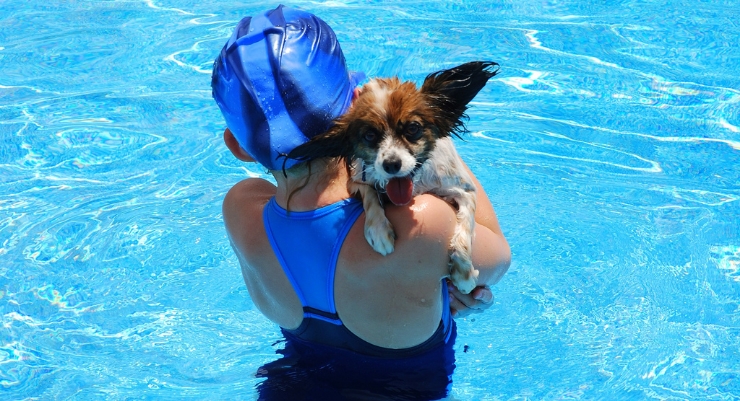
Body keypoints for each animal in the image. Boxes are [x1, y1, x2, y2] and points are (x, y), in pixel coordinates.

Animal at [286, 61, 500, 292]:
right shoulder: (357, 180)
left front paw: (463, 271)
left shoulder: (463, 188)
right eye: (370, 135)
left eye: (413, 128)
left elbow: (466, 223)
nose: (391, 164)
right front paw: (378, 230)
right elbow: (370, 194)